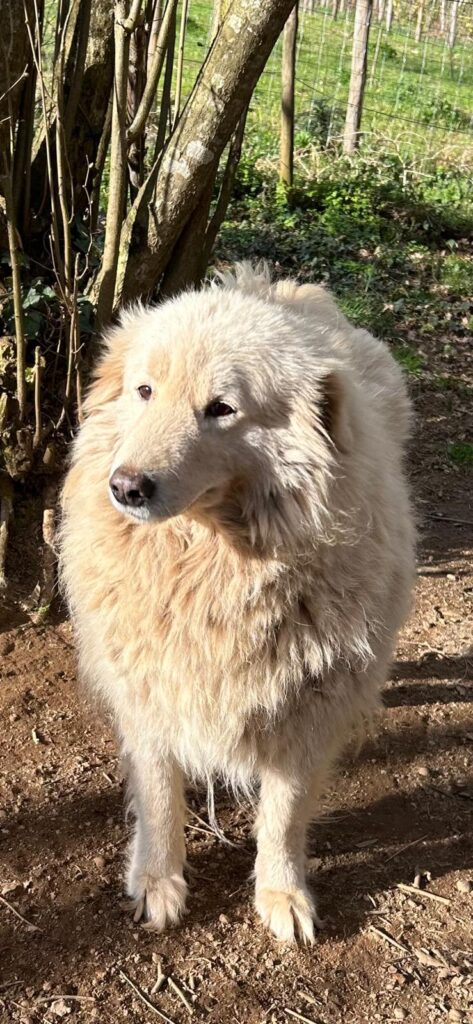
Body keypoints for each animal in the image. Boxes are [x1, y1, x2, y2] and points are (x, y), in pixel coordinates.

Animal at [59, 263, 415, 943]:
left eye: (221, 409)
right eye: (145, 391)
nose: (126, 487)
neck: (211, 569)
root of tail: (270, 284)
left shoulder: (308, 710)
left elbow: (283, 813)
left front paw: (282, 894)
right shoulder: (149, 696)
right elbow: (160, 800)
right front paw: (158, 883)